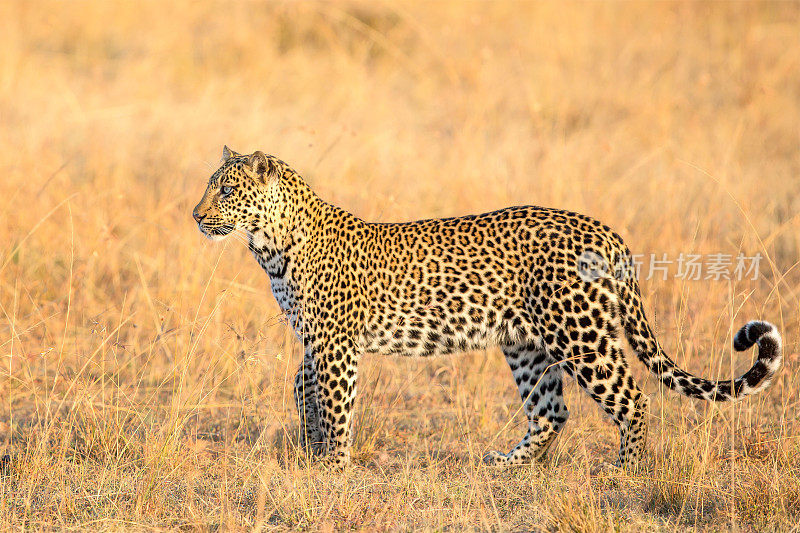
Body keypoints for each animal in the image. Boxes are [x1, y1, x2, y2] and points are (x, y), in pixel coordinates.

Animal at [192, 145, 780, 466]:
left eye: (226, 191)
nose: (196, 215)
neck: (270, 245)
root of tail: (604, 230)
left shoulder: (335, 343)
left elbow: (335, 407)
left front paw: (332, 469)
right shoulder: (313, 340)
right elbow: (302, 389)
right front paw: (311, 454)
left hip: (580, 334)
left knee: (632, 399)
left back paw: (626, 472)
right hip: (528, 343)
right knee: (551, 411)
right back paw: (506, 466)